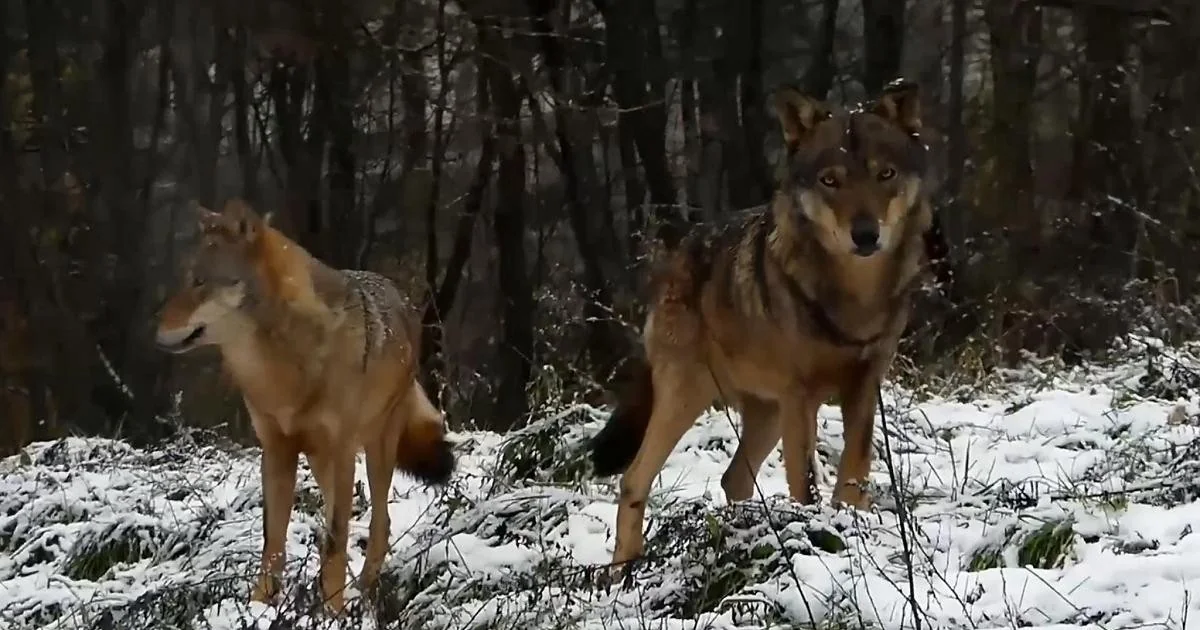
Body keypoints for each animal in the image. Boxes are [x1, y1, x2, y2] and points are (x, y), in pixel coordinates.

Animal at [154, 199, 456, 612]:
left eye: (200, 281)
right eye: (186, 279)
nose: (155, 332)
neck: (281, 367)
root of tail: (402, 298)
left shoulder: (344, 450)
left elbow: (335, 539)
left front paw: (332, 612)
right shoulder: (276, 452)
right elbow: (274, 542)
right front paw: (260, 606)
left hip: (375, 450)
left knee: (378, 524)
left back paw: (363, 592)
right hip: (318, 459)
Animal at [588, 80, 935, 574]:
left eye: (884, 174)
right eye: (830, 181)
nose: (866, 235)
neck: (853, 300)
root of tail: (673, 261)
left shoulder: (865, 387)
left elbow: (855, 470)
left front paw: (852, 522)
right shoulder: (800, 398)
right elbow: (805, 482)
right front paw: (817, 531)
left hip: (765, 416)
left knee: (733, 479)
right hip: (689, 398)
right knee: (634, 479)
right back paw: (623, 571)